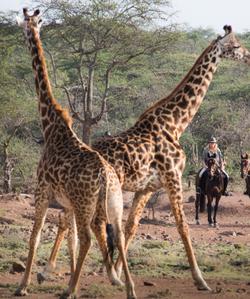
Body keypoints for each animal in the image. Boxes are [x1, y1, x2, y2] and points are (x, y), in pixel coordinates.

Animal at [15, 8, 137, 299]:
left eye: (26, 23)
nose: (24, 32)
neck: (50, 126)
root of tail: (105, 176)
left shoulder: (42, 190)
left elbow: (35, 236)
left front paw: (23, 285)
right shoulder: (67, 202)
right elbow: (69, 239)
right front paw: (72, 280)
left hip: (85, 204)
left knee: (89, 239)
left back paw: (69, 291)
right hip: (113, 203)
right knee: (118, 236)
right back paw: (129, 289)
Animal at [43, 24, 250, 292]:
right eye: (235, 45)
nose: (248, 56)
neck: (175, 123)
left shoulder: (147, 188)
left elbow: (131, 227)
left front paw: (119, 271)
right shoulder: (173, 177)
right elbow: (182, 226)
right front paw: (201, 280)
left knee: (68, 219)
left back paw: (55, 271)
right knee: (89, 222)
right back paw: (59, 271)